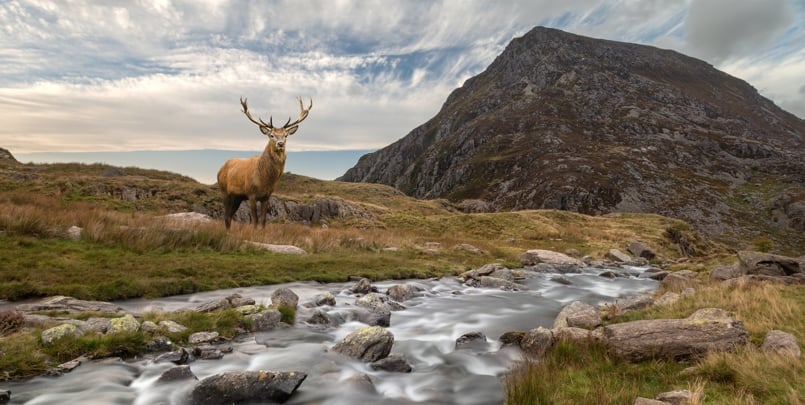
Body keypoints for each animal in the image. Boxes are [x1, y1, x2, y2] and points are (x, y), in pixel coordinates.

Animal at [217, 96, 312, 230]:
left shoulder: (266, 197)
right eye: (271, 135)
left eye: (286, 135)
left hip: (237, 197)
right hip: (224, 191)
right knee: (226, 216)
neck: (265, 180)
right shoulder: (251, 194)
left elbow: (263, 221)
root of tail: (220, 169)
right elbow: (255, 220)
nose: (280, 143)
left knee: (229, 216)